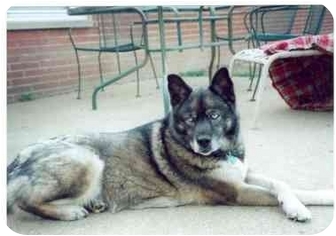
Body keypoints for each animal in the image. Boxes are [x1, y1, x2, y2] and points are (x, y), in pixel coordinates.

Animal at [6, 67, 332, 221]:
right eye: (189, 118)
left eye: (214, 115)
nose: (203, 143)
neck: (222, 153)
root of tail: (19, 156)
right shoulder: (237, 192)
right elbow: (278, 192)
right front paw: (300, 207)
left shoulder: (244, 174)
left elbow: (283, 184)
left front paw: (308, 199)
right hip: (88, 160)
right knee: (24, 201)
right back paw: (68, 212)